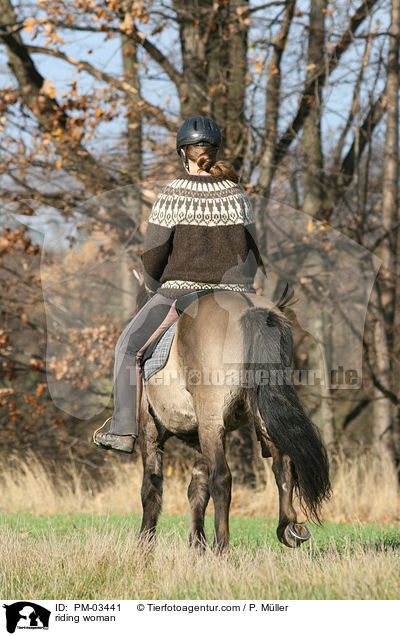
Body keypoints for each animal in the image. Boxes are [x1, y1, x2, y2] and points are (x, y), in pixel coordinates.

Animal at [136, 288, 330, 552]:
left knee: (222, 478)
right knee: (283, 466)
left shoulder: (152, 429)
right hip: (255, 417)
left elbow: (152, 487)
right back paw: (288, 528)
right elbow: (196, 488)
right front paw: (196, 544)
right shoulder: (201, 435)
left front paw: (144, 545)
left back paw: (221, 545)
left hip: (208, 422)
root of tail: (250, 308)